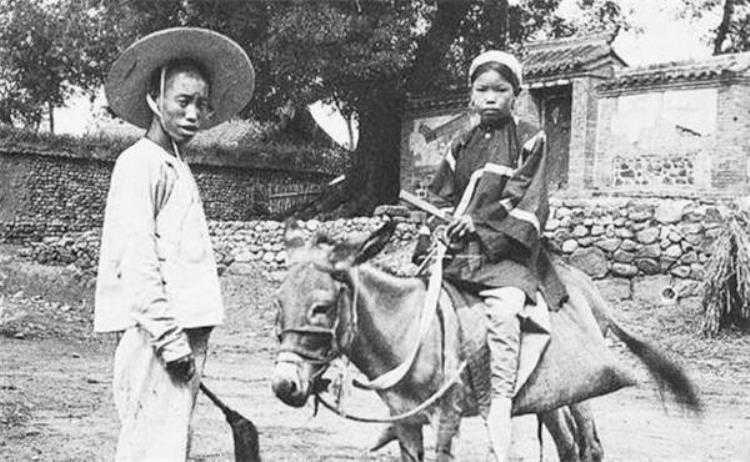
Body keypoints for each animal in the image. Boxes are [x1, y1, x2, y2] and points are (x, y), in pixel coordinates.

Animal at [271, 222, 702, 461]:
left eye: (322, 307)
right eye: (279, 303)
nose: (283, 385)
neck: (408, 328)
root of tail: (584, 284)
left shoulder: (446, 416)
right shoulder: (406, 421)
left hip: (581, 390)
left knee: (590, 446)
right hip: (547, 395)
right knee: (567, 446)